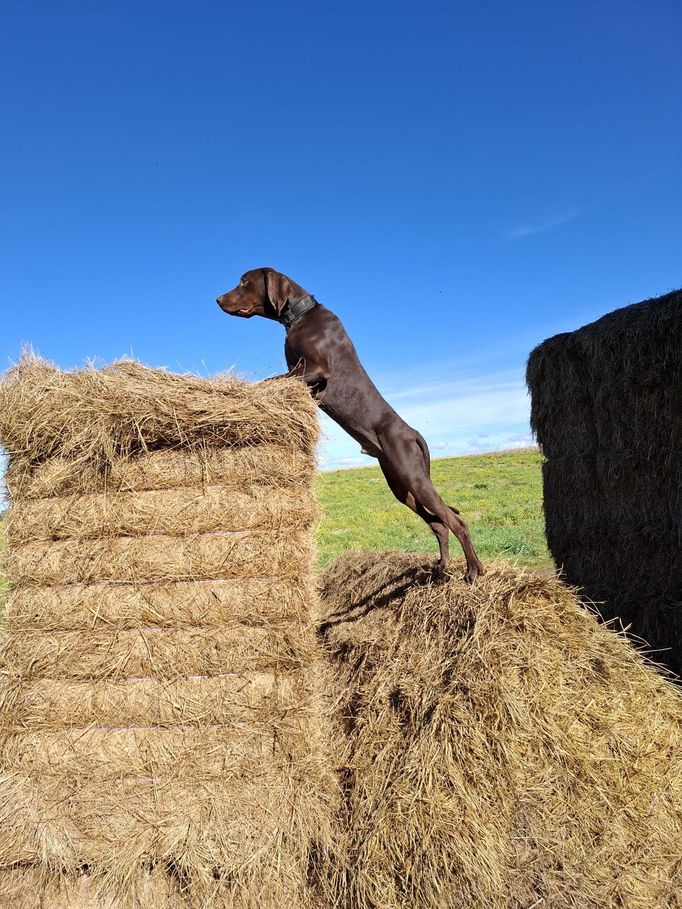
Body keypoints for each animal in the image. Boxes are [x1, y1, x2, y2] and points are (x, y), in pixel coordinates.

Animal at [218, 266, 484, 584]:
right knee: (439, 524)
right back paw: (442, 567)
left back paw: (473, 570)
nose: (218, 299)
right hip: (401, 487)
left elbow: (270, 380)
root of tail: (413, 433)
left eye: (244, 282)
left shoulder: (314, 368)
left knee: (456, 521)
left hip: (414, 478)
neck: (300, 314)